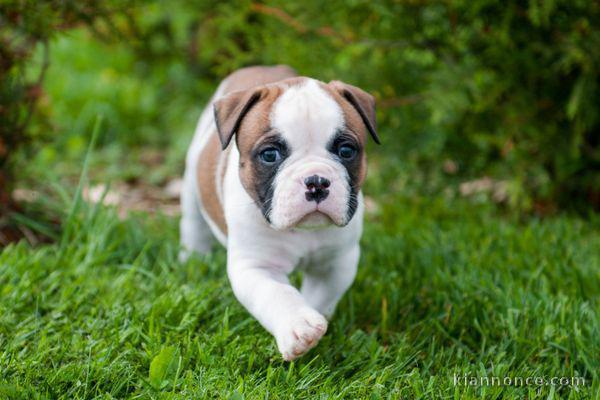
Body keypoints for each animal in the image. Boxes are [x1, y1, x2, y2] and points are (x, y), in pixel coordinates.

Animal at [178, 65, 378, 360]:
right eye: (270, 155)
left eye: (346, 151)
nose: (316, 181)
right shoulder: (256, 267)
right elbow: (277, 294)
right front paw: (298, 326)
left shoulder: (335, 263)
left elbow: (319, 297)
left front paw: (314, 321)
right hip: (192, 182)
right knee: (193, 224)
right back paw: (192, 259)